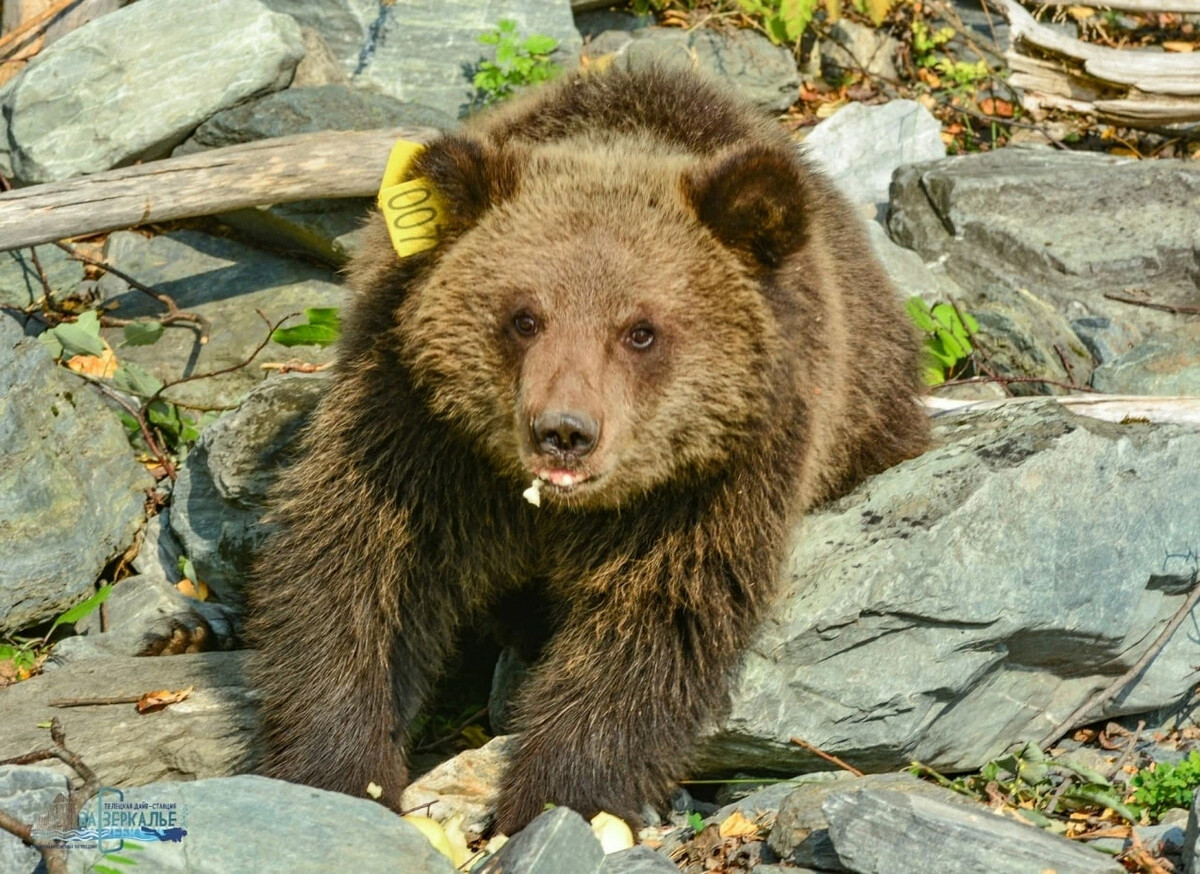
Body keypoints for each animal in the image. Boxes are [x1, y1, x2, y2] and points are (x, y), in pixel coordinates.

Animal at [246, 66, 926, 830]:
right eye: (523, 316)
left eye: (640, 330)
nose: (564, 430)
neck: (550, 511)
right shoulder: (420, 431)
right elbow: (358, 564)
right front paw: (337, 769)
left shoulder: (706, 483)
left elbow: (655, 623)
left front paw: (556, 794)